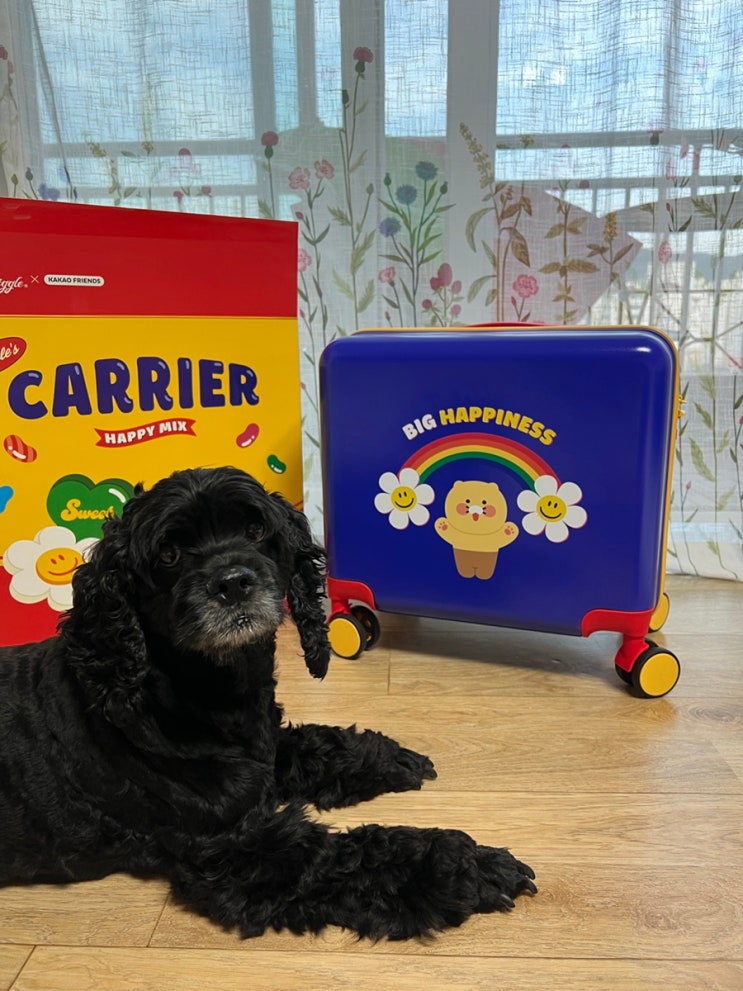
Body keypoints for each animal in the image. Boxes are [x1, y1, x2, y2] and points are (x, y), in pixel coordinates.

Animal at [0, 466, 536, 940]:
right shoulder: (239, 850)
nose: (233, 582)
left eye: (256, 530)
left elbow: (314, 746)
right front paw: (464, 866)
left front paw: (387, 758)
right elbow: (354, 855)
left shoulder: (265, 751)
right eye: (169, 553)